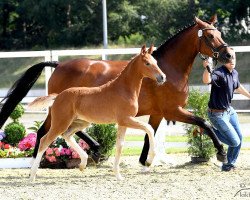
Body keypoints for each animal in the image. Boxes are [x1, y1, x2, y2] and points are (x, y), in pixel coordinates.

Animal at [28, 45, 166, 181]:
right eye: (147, 63)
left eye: (156, 62)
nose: (162, 77)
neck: (123, 89)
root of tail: (57, 96)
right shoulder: (126, 119)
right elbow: (149, 129)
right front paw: (149, 161)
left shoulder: (123, 123)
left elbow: (120, 145)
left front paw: (118, 176)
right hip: (60, 123)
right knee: (45, 140)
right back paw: (32, 175)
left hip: (81, 122)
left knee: (67, 135)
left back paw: (83, 163)